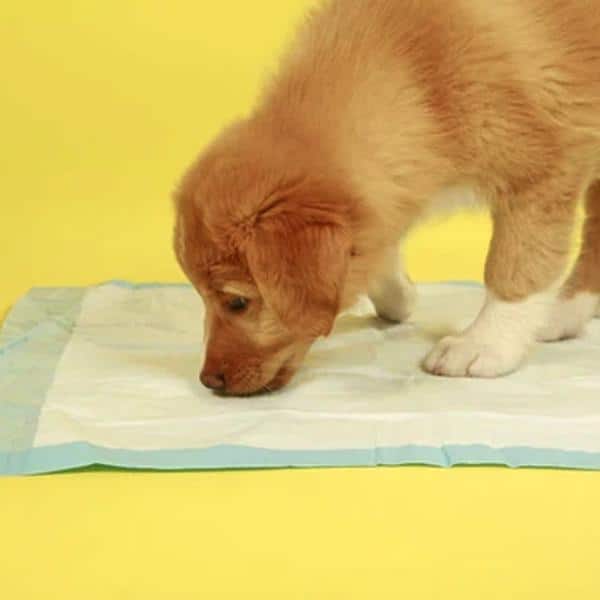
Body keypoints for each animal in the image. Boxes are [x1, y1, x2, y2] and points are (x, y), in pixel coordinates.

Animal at [174, 0, 600, 396]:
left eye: (237, 302)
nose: (208, 380)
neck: (419, 75)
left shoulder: (541, 175)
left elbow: (515, 268)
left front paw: (484, 345)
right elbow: (377, 238)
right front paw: (398, 295)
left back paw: (559, 315)